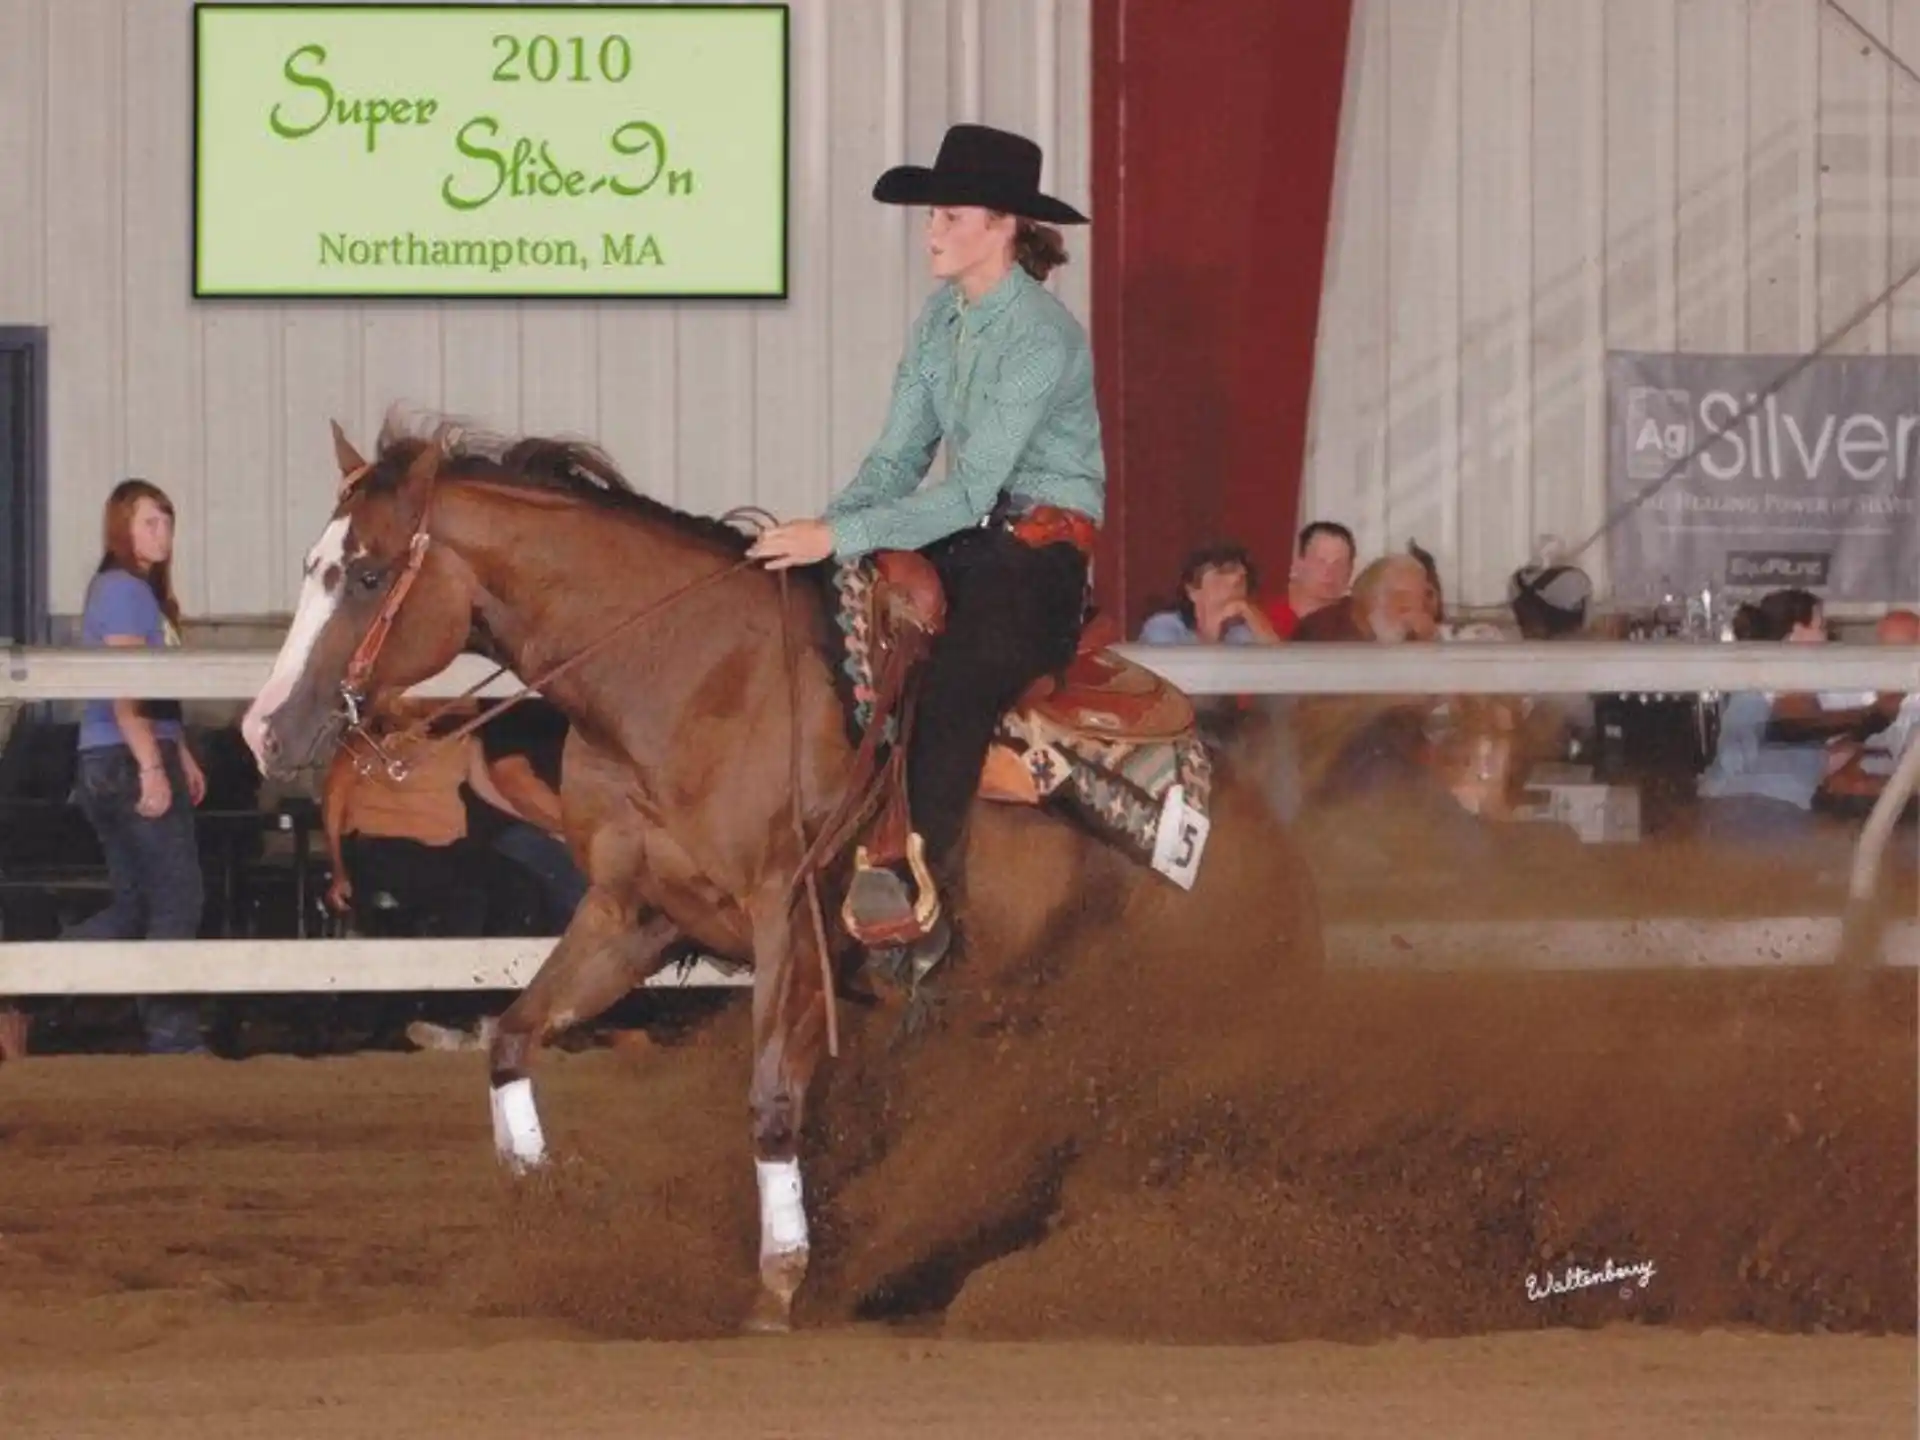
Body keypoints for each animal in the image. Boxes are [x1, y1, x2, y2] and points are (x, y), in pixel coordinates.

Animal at [239, 415, 1323, 1332]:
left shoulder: (787, 919)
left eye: (367, 575)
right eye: (314, 566)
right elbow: (512, 1036)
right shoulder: (633, 913)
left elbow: (769, 1100)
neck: (684, 677)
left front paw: (780, 1281)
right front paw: (549, 1209)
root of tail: (1242, 824)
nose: (265, 730)